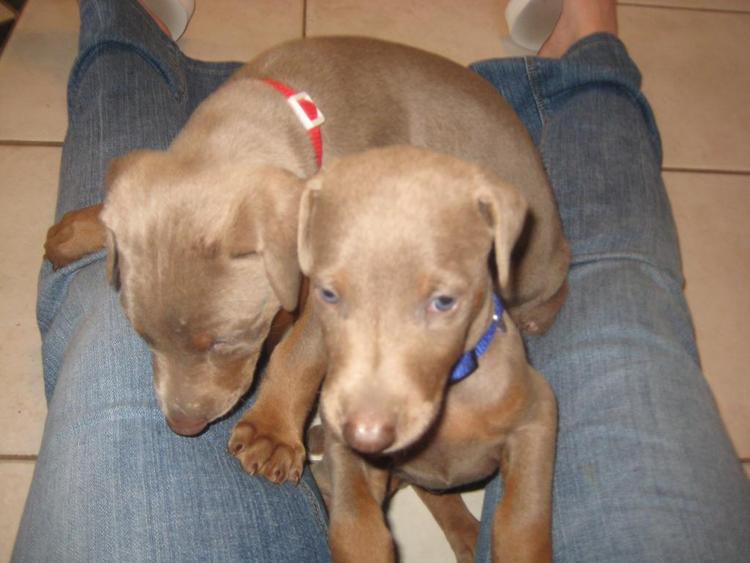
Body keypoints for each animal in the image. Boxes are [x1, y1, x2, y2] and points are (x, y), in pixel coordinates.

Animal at [300, 147, 560, 563]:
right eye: (327, 294)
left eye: (443, 302)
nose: (367, 435)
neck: (452, 392)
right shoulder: (349, 453)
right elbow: (355, 523)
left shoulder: (537, 416)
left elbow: (522, 519)